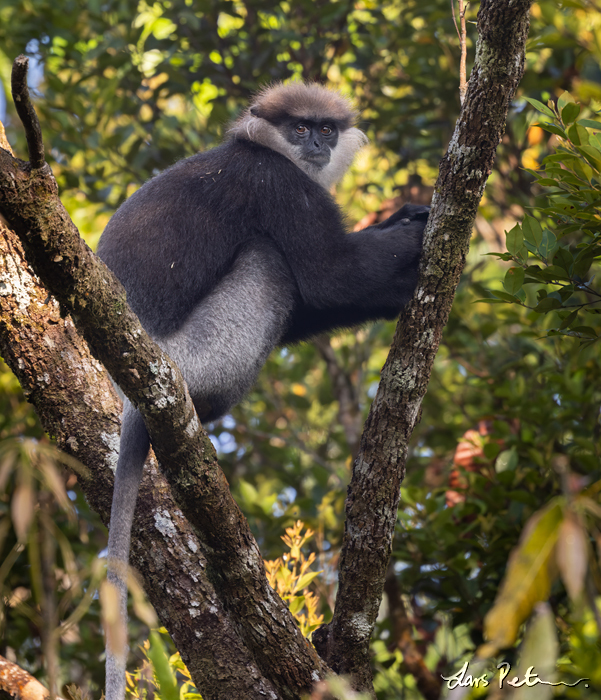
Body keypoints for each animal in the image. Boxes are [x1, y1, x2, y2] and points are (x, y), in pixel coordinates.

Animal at [97, 82, 426, 700]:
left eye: (325, 129)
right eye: (299, 128)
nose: (316, 145)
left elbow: (315, 300)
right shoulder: (276, 183)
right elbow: (329, 275)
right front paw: (413, 232)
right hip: (197, 354)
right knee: (269, 257)